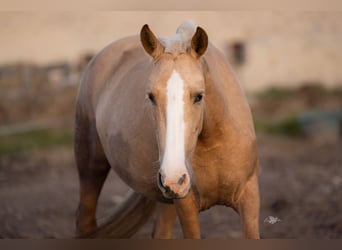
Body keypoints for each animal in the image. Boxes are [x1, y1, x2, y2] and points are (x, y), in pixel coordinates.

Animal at [75, 20, 260, 239]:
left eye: (199, 96)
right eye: (151, 96)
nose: (173, 178)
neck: (214, 143)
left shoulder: (249, 198)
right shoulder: (186, 205)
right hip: (91, 169)